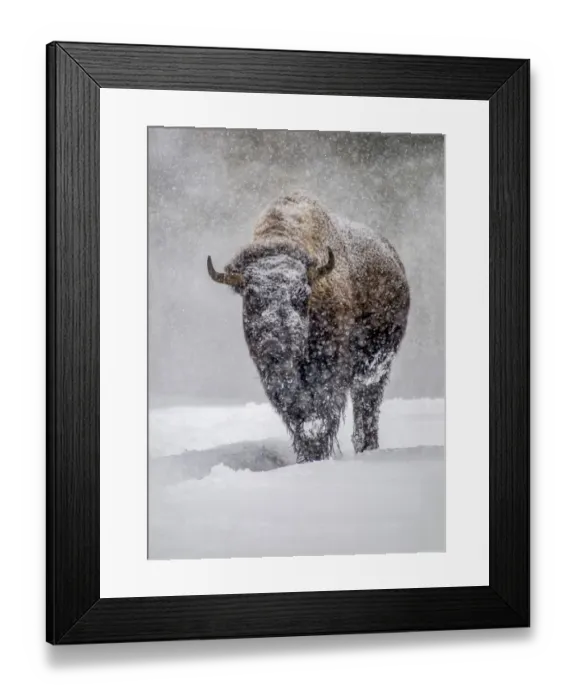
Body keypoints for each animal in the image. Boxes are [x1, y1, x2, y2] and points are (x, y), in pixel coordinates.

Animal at [207, 192, 410, 463]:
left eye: (303, 296)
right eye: (251, 297)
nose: (277, 346)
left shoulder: (330, 368)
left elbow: (320, 413)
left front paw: (316, 455)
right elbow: (297, 413)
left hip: (376, 366)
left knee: (367, 404)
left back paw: (367, 447)